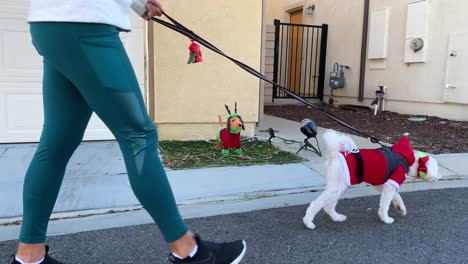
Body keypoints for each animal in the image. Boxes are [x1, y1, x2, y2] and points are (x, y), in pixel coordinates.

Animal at [302, 130, 440, 229]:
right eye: (437, 168)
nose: (439, 177)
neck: (409, 160)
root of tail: (335, 153)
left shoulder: (383, 184)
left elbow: (396, 196)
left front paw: (400, 208)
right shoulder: (391, 184)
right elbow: (385, 205)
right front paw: (385, 219)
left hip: (340, 186)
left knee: (328, 206)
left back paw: (336, 217)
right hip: (336, 187)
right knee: (316, 204)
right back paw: (308, 222)